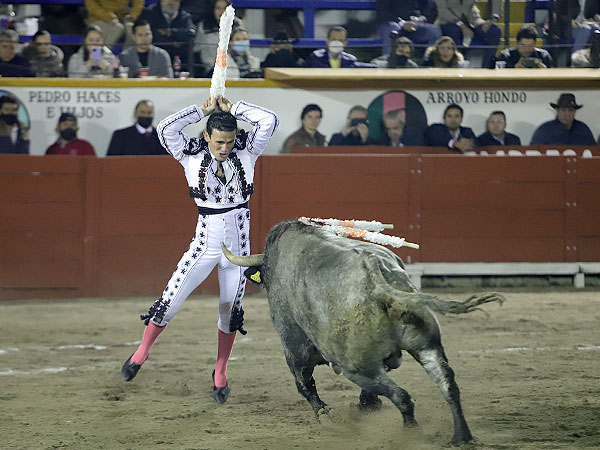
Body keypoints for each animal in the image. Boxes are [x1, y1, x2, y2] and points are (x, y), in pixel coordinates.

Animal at [223, 220, 504, 444]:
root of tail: (374, 276)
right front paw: (366, 405)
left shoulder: (293, 344)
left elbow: (304, 383)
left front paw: (327, 416)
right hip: (425, 343)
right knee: (447, 383)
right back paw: (461, 437)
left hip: (355, 367)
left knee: (402, 396)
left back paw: (411, 435)